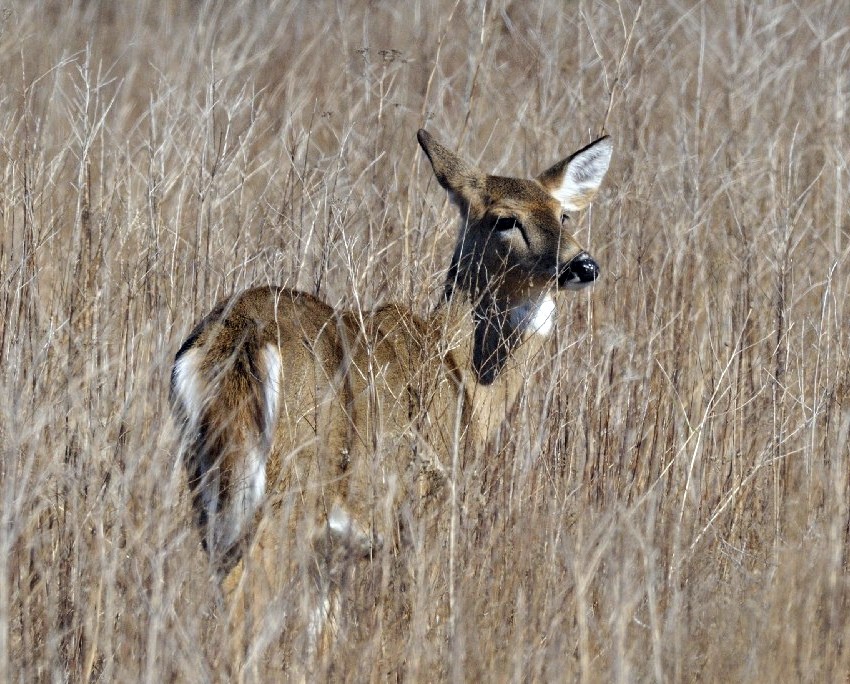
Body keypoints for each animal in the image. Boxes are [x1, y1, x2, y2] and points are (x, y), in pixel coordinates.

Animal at [169, 128, 612, 668]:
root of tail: (241, 337)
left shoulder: (331, 554)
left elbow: (323, 638)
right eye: (506, 219)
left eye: (563, 214)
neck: (463, 375)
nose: (582, 264)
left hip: (211, 490)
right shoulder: (426, 505)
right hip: (289, 489)